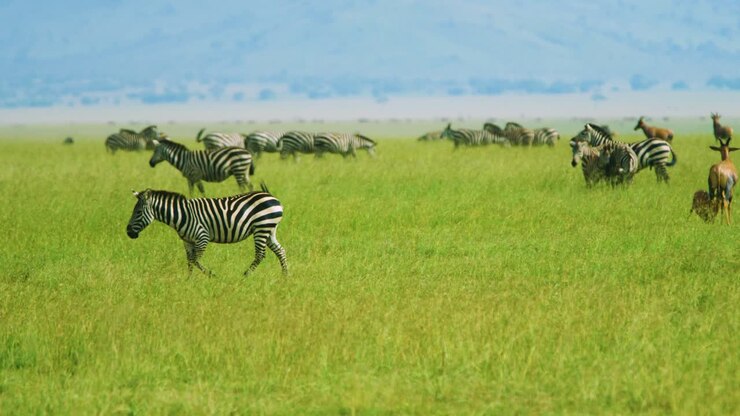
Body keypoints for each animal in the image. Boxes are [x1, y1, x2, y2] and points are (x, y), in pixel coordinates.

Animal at [126, 184, 288, 276]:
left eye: (138, 212)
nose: (128, 232)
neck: (182, 215)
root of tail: (272, 197)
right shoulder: (187, 241)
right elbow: (190, 262)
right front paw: (188, 280)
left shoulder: (202, 237)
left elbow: (196, 261)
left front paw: (211, 275)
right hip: (269, 230)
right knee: (280, 251)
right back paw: (285, 277)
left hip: (262, 227)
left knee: (260, 254)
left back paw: (245, 275)